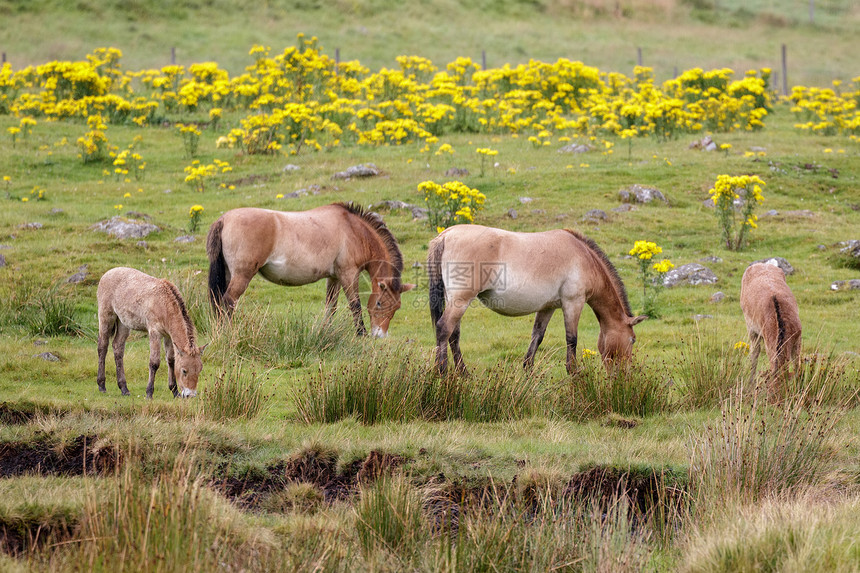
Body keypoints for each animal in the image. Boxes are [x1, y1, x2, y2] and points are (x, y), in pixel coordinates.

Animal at [96, 268, 206, 398]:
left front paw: (175, 391)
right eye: (184, 370)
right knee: (102, 347)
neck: (164, 303)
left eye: (200, 369)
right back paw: (101, 385)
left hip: (123, 323)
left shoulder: (168, 336)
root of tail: (106, 274)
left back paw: (124, 388)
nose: (190, 395)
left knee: (118, 347)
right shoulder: (155, 333)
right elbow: (154, 362)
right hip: (106, 317)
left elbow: (171, 360)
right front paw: (149, 392)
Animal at [205, 201, 414, 336]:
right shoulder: (348, 274)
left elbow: (331, 307)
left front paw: (325, 331)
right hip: (242, 275)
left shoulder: (334, 277)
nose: (379, 335)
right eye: (379, 303)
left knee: (219, 302)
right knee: (228, 302)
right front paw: (361, 334)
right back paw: (229, 334)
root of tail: (224, 219)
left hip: (229, 274)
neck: (354, 230)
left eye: (397, 307)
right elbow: (355, 305)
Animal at [426, 223, 648, 376]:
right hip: (461, 299)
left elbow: (537, 336)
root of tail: (446, 235)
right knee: (444, 328)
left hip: (455, 300)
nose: (623, 374)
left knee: (453, 334)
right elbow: (571, 338)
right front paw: (574, 372)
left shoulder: (548, 307)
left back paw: (463, 373)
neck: (585, 258)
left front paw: (528, 370)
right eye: (632, 340)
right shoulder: (573, 302)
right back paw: (441, 371)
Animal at [736, 260, 804, 394]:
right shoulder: (768, 342)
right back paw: (751, 383)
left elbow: (797, 366)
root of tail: (763, 263)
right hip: (751, 328)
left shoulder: (798, 337)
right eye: (770, 389)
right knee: (755, 352)